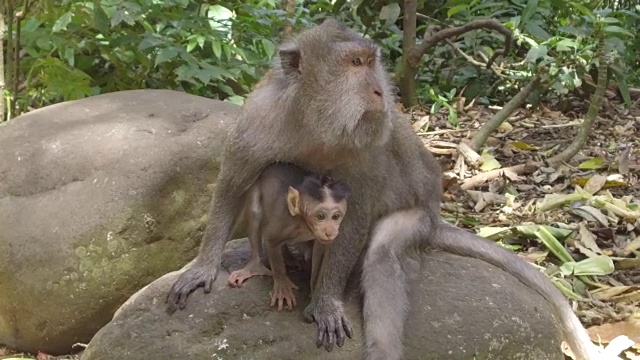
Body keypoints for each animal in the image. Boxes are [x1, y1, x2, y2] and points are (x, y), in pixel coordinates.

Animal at [228, 163, 350, 312]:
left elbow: (318, 250)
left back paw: (288, 258)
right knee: (256, 213)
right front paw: (282, 285)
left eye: (336, 217)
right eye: (320, 216)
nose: (330, 231)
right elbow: (271, 241)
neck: (303, 222)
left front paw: (314, 286)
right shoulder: (284, 222)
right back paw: (254, 266)